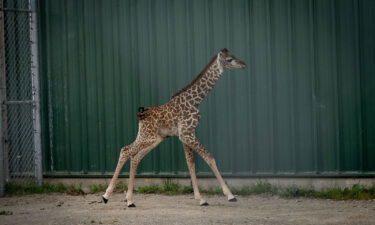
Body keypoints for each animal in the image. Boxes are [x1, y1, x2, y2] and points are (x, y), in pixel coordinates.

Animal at [102, 48, 247, 207]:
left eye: (234, 56)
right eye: (229, 60)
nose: (244, 64)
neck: (195, 101)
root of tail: (141, 115)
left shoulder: (186, 134)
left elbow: (190, 163)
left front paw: (200, 198)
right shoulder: (186, 134)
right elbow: (209, 157)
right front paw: (230, 195)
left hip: (154, 138)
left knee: (135, 157)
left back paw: (129, 199)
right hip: (148, 137)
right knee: (125, 150)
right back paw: (107, 196)